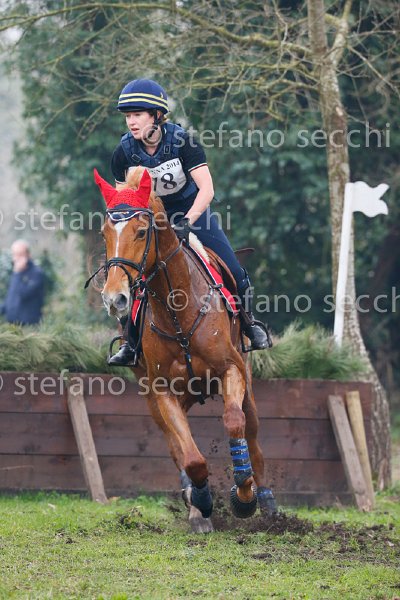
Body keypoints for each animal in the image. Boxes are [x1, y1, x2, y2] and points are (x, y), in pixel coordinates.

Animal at [91, 166, 277, 532]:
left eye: (141, 231)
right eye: (105, 232)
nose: (115, 298)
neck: (178, 310)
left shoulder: (231, 370)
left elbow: (234, 423)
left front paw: (244, 497)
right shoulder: (162, 391)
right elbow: (190, 457)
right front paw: (201, 502)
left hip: (246, 384)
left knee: (252, 433)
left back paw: (266, 502)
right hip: (159, 397)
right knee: (176, 446)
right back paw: (195, 505)